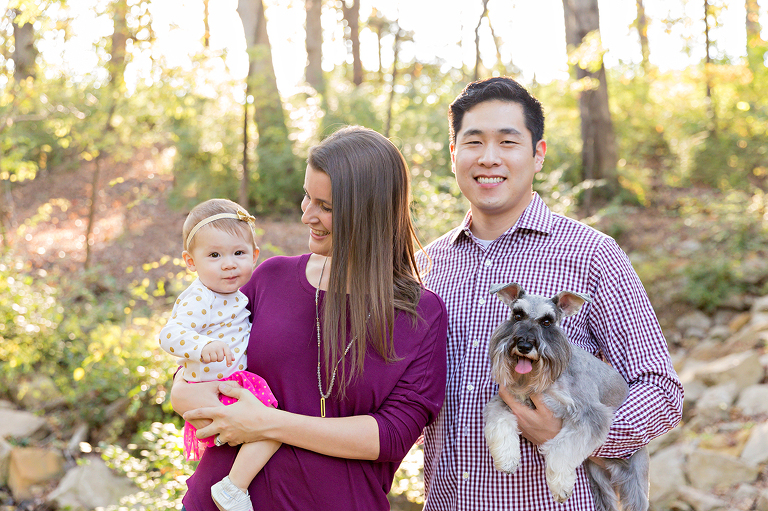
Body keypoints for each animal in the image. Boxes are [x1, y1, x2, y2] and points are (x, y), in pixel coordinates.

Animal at [486, 284, 648, 511]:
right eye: (517, 315)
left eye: (547, 321)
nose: (524, 345)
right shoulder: (507, 400)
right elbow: (500, 423)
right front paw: (507, 459)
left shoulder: (589, 415)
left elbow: (562, 448)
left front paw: (560, 486)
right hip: (597, 482)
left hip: (634, 479)